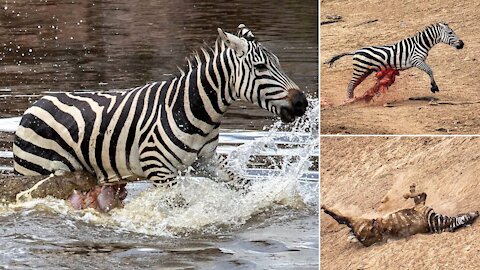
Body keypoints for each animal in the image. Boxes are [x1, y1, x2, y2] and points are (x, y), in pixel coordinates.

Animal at [15, 23, 310, 211]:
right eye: (260, 67)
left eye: (278, 63)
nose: (301, 103)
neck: (195, 110)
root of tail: (37, 103)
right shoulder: (157, 168)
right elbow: (182, 206)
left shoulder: (206, 161)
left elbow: (244, 185)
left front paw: (273, 201)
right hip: (35, 170)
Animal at [320, 184, 478, 247]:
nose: (477, 212)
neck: (435, 223)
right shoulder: (420, 205)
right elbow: (422, 193)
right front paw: (410, 190)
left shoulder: (420, 206)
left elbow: (420, 193)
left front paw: (408, 192)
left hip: (358, 222)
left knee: (341, 218)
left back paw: (324, 207)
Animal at [324, 22, 464, 99]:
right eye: (450, 33)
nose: (462, 44)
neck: (421, 43)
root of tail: (355, 52)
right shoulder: (416, 60)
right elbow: (429, 70)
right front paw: (434, 87)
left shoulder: (419, 61)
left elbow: (429, 71)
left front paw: (434, 86)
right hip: (360, 69)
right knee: (350, 84)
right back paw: (349, 101)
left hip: (365, 71)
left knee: (353, 85)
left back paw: (353, 99)